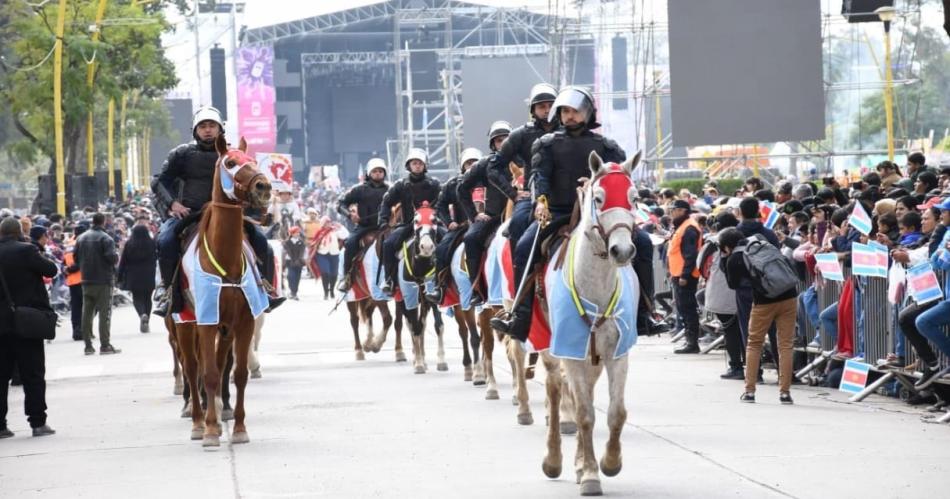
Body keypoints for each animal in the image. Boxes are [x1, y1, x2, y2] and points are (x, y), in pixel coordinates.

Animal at [540, 150, 644, 498]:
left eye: (634, 197)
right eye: (598, 198)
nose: (622, 250)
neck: (595, 288)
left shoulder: (617, 353)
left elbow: (616, 413)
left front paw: (610, 462)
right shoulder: (570, 351)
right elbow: (584, 415)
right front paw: (589, 475)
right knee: (555, 389)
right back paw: (554, 460)